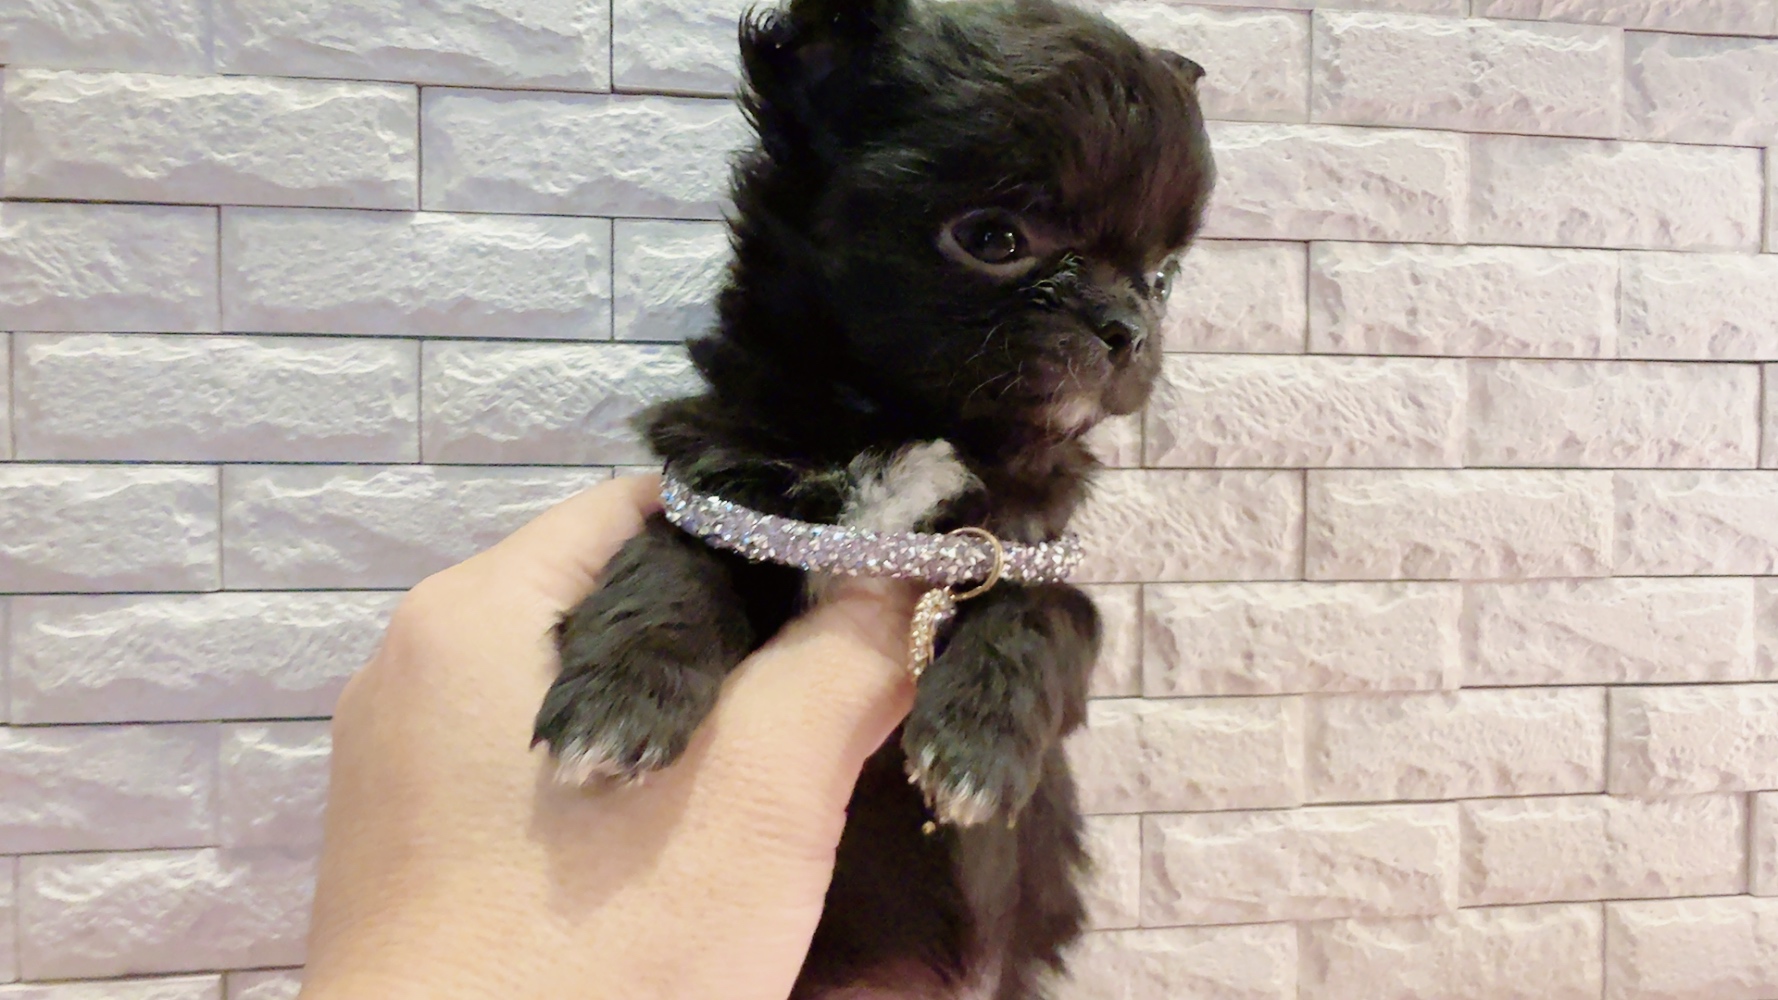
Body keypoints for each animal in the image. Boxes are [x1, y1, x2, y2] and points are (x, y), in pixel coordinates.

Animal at [533, 0, 1214, 994]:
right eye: (995, 238)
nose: (1129, 328)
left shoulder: (1035, 549)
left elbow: (1040, 617)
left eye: (1163, 278)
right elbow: (672, 563)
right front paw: (622, 691)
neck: (907, 423)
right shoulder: (729, 493)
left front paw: (978, 742)